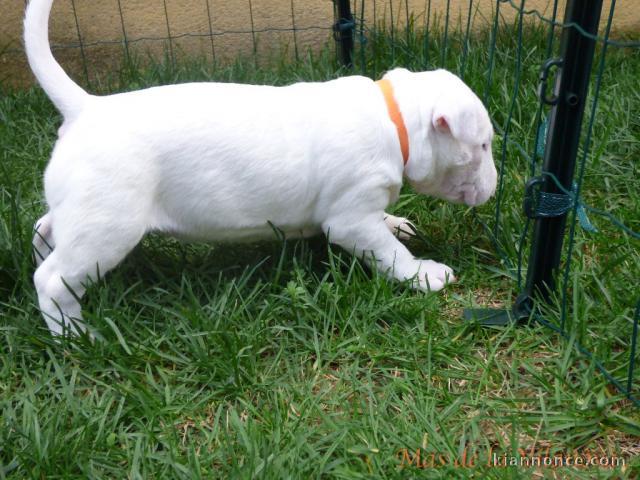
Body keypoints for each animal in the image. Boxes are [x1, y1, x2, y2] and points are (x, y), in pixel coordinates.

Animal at [25, 0, 498, 336]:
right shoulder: (350, 218)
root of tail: (86, 108)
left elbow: (386, 227)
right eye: (483, 145)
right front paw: (425, 276)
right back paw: (76, 336)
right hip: (108, 224)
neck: (394, 119)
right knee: (51, 280)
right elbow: (389, 253)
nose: (495, 188)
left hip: (83, 211)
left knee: (45, 229)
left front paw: (398, 222)